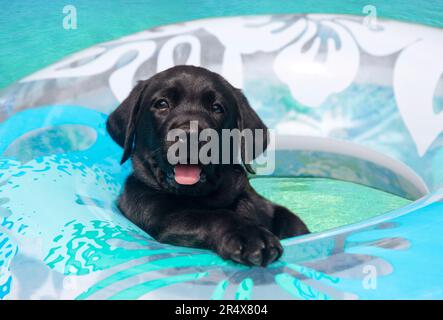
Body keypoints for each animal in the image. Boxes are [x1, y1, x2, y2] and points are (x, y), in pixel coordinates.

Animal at [107, 64, 308, 264]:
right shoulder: (158, 217)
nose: (190, 136)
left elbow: (289, 220)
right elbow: (212, 216)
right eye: (162, 104)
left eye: (217, 108)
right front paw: (250, 235)